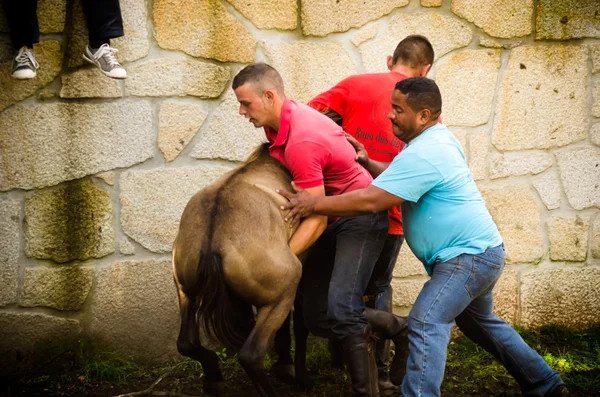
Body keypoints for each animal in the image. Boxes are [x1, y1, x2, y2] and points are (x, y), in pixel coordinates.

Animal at [171, 143, 308, 396]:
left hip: (185, 292)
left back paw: (213, 376)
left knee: (186, 342)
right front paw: (296, 373)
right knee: (251, 355)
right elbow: (300, 324)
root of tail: (214, 238)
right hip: (282, 293)